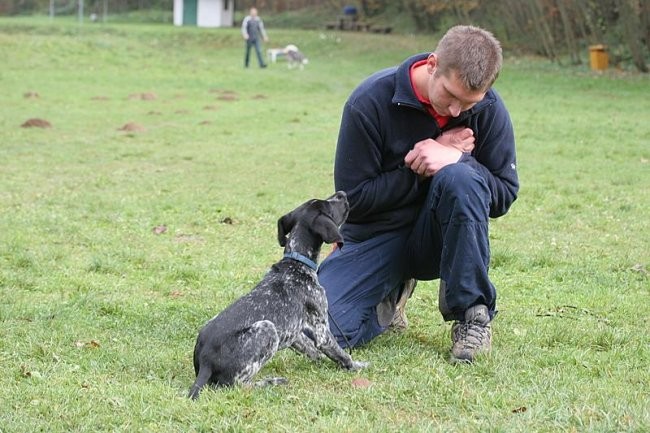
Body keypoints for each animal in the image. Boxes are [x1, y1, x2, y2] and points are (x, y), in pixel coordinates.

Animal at [190, 191, 368, 400]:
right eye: (328, 205)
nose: (342, 193)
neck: (296, 262)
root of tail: (205, 363)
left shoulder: (295, 332)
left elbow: (311, 349)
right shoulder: (322, 331)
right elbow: (341, 354)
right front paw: (357, 366)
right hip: (268, 329)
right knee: (239, 385)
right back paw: (271, 382)